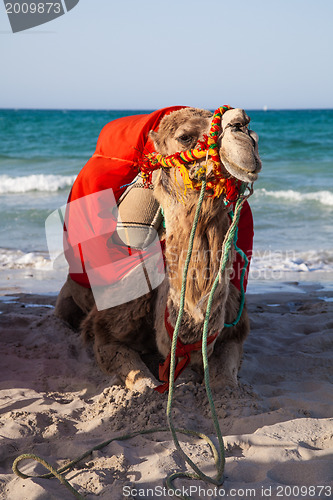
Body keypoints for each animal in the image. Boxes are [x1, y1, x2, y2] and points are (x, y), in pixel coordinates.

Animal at [55, 106, 260, 394]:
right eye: (185, 137)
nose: (242, 125)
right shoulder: (105, 329)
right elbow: (144, 384)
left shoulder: (234, 330)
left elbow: (224, 384)